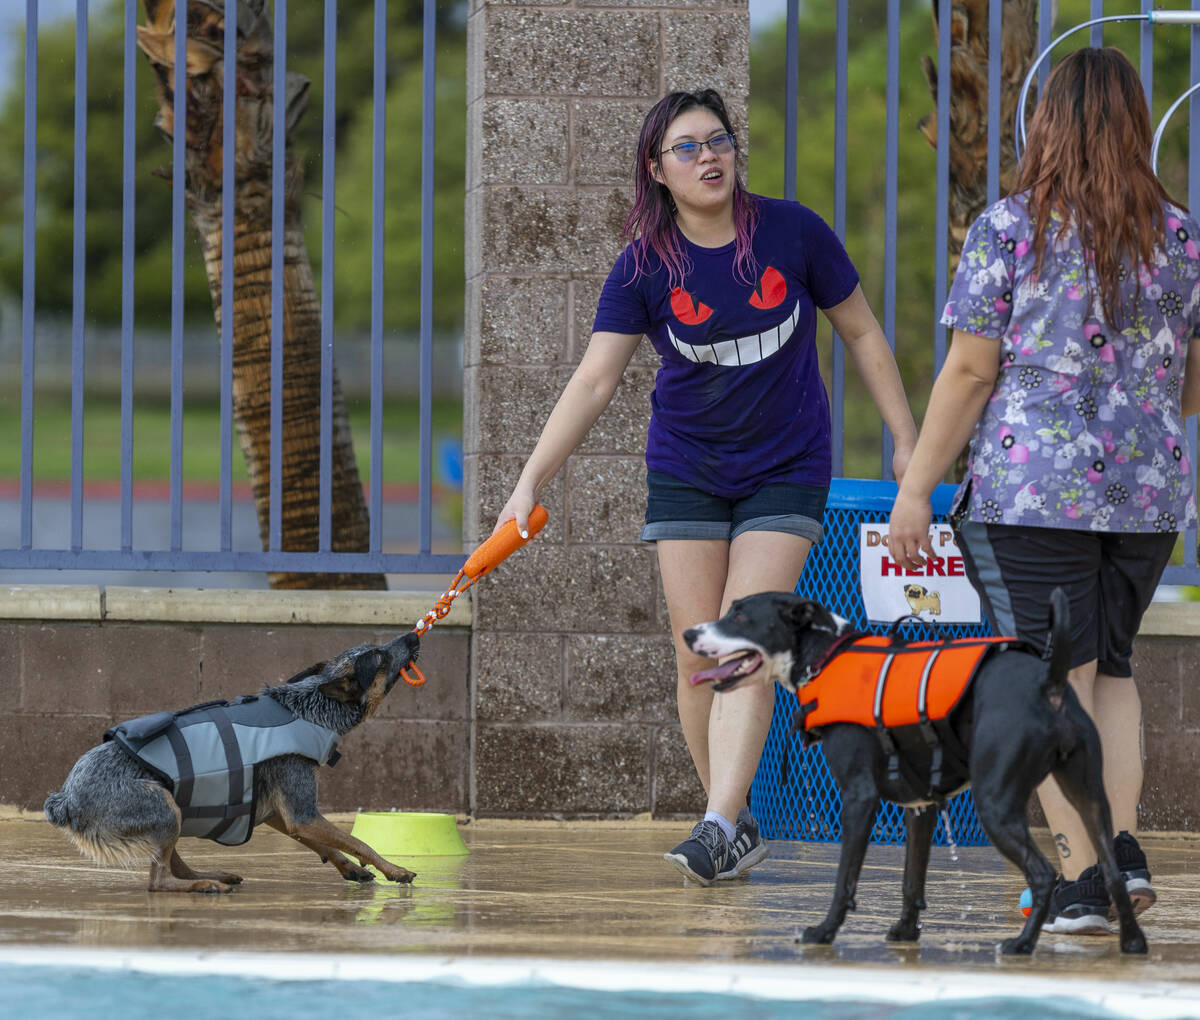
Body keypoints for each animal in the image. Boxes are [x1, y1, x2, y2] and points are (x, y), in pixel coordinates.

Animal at [686, 588, 1142, 955]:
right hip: (1090, 800)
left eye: (740, 616)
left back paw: (1021, 944)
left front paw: (824, 932)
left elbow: (844, 880)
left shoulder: (859, 798)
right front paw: (906, 932)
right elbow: (911, 880)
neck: (828, 656)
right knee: (1113, 872)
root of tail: (1049, 683)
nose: (689, 634)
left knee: (1044, 874)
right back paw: (1133, 942)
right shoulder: (921, 806)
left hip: (995, 804)